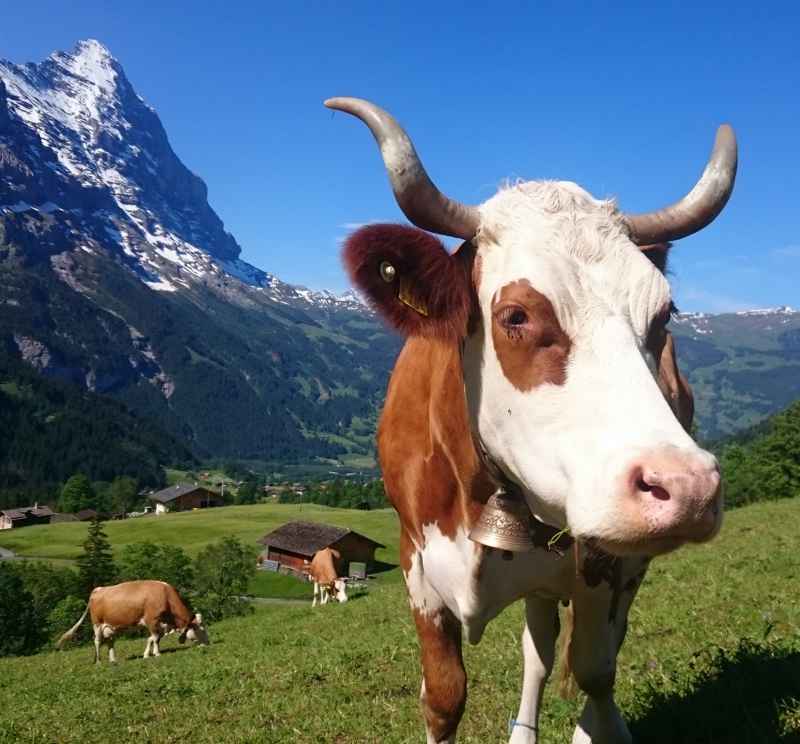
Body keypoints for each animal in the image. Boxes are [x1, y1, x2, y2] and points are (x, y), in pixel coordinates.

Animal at [56, 579, 209, 663]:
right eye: (200, 628)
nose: (208, 643)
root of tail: (98, 590)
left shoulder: (159, 623)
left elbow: (153, 638)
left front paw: (148, 654)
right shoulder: (151, 619)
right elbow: (155, 638)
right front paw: (157, 653)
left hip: (110, 627)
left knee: (110, 642)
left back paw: (113, 660)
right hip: (97, 623)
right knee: (97, 641)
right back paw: (99, 661)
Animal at [326, 97, 737, 744]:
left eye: (664, 312)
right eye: (515, 315)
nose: (689, 487)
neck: (478, 486)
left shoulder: (606, 563)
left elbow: (595, 671)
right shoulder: (416, 565)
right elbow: (443, 696)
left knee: (578, 655)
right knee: (540, 648)